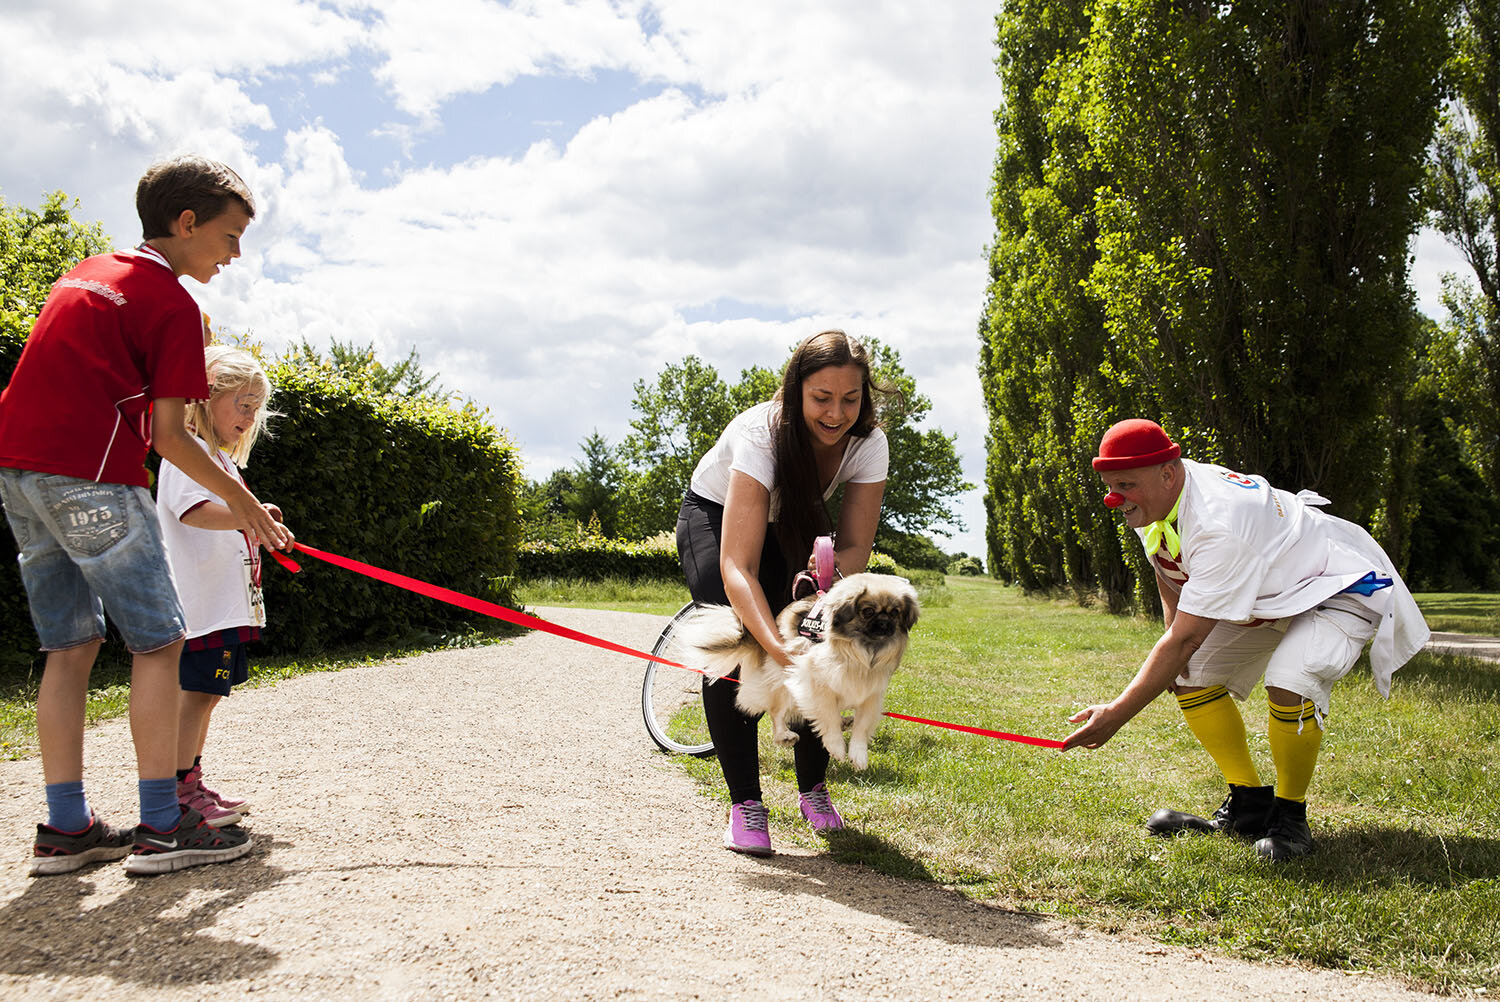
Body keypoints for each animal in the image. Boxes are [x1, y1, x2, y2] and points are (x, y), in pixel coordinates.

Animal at [672, 570, 918, 768]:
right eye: (868, 611)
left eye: (895, 613)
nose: (885, 623)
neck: (863, 651)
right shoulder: (815, 682)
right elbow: (827, 715)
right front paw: (837, 746)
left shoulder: (870, 693)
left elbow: (862, 726)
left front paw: (858, 755)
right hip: (785, 679)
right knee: (777, 711)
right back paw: (784, 735)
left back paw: (844, 722)